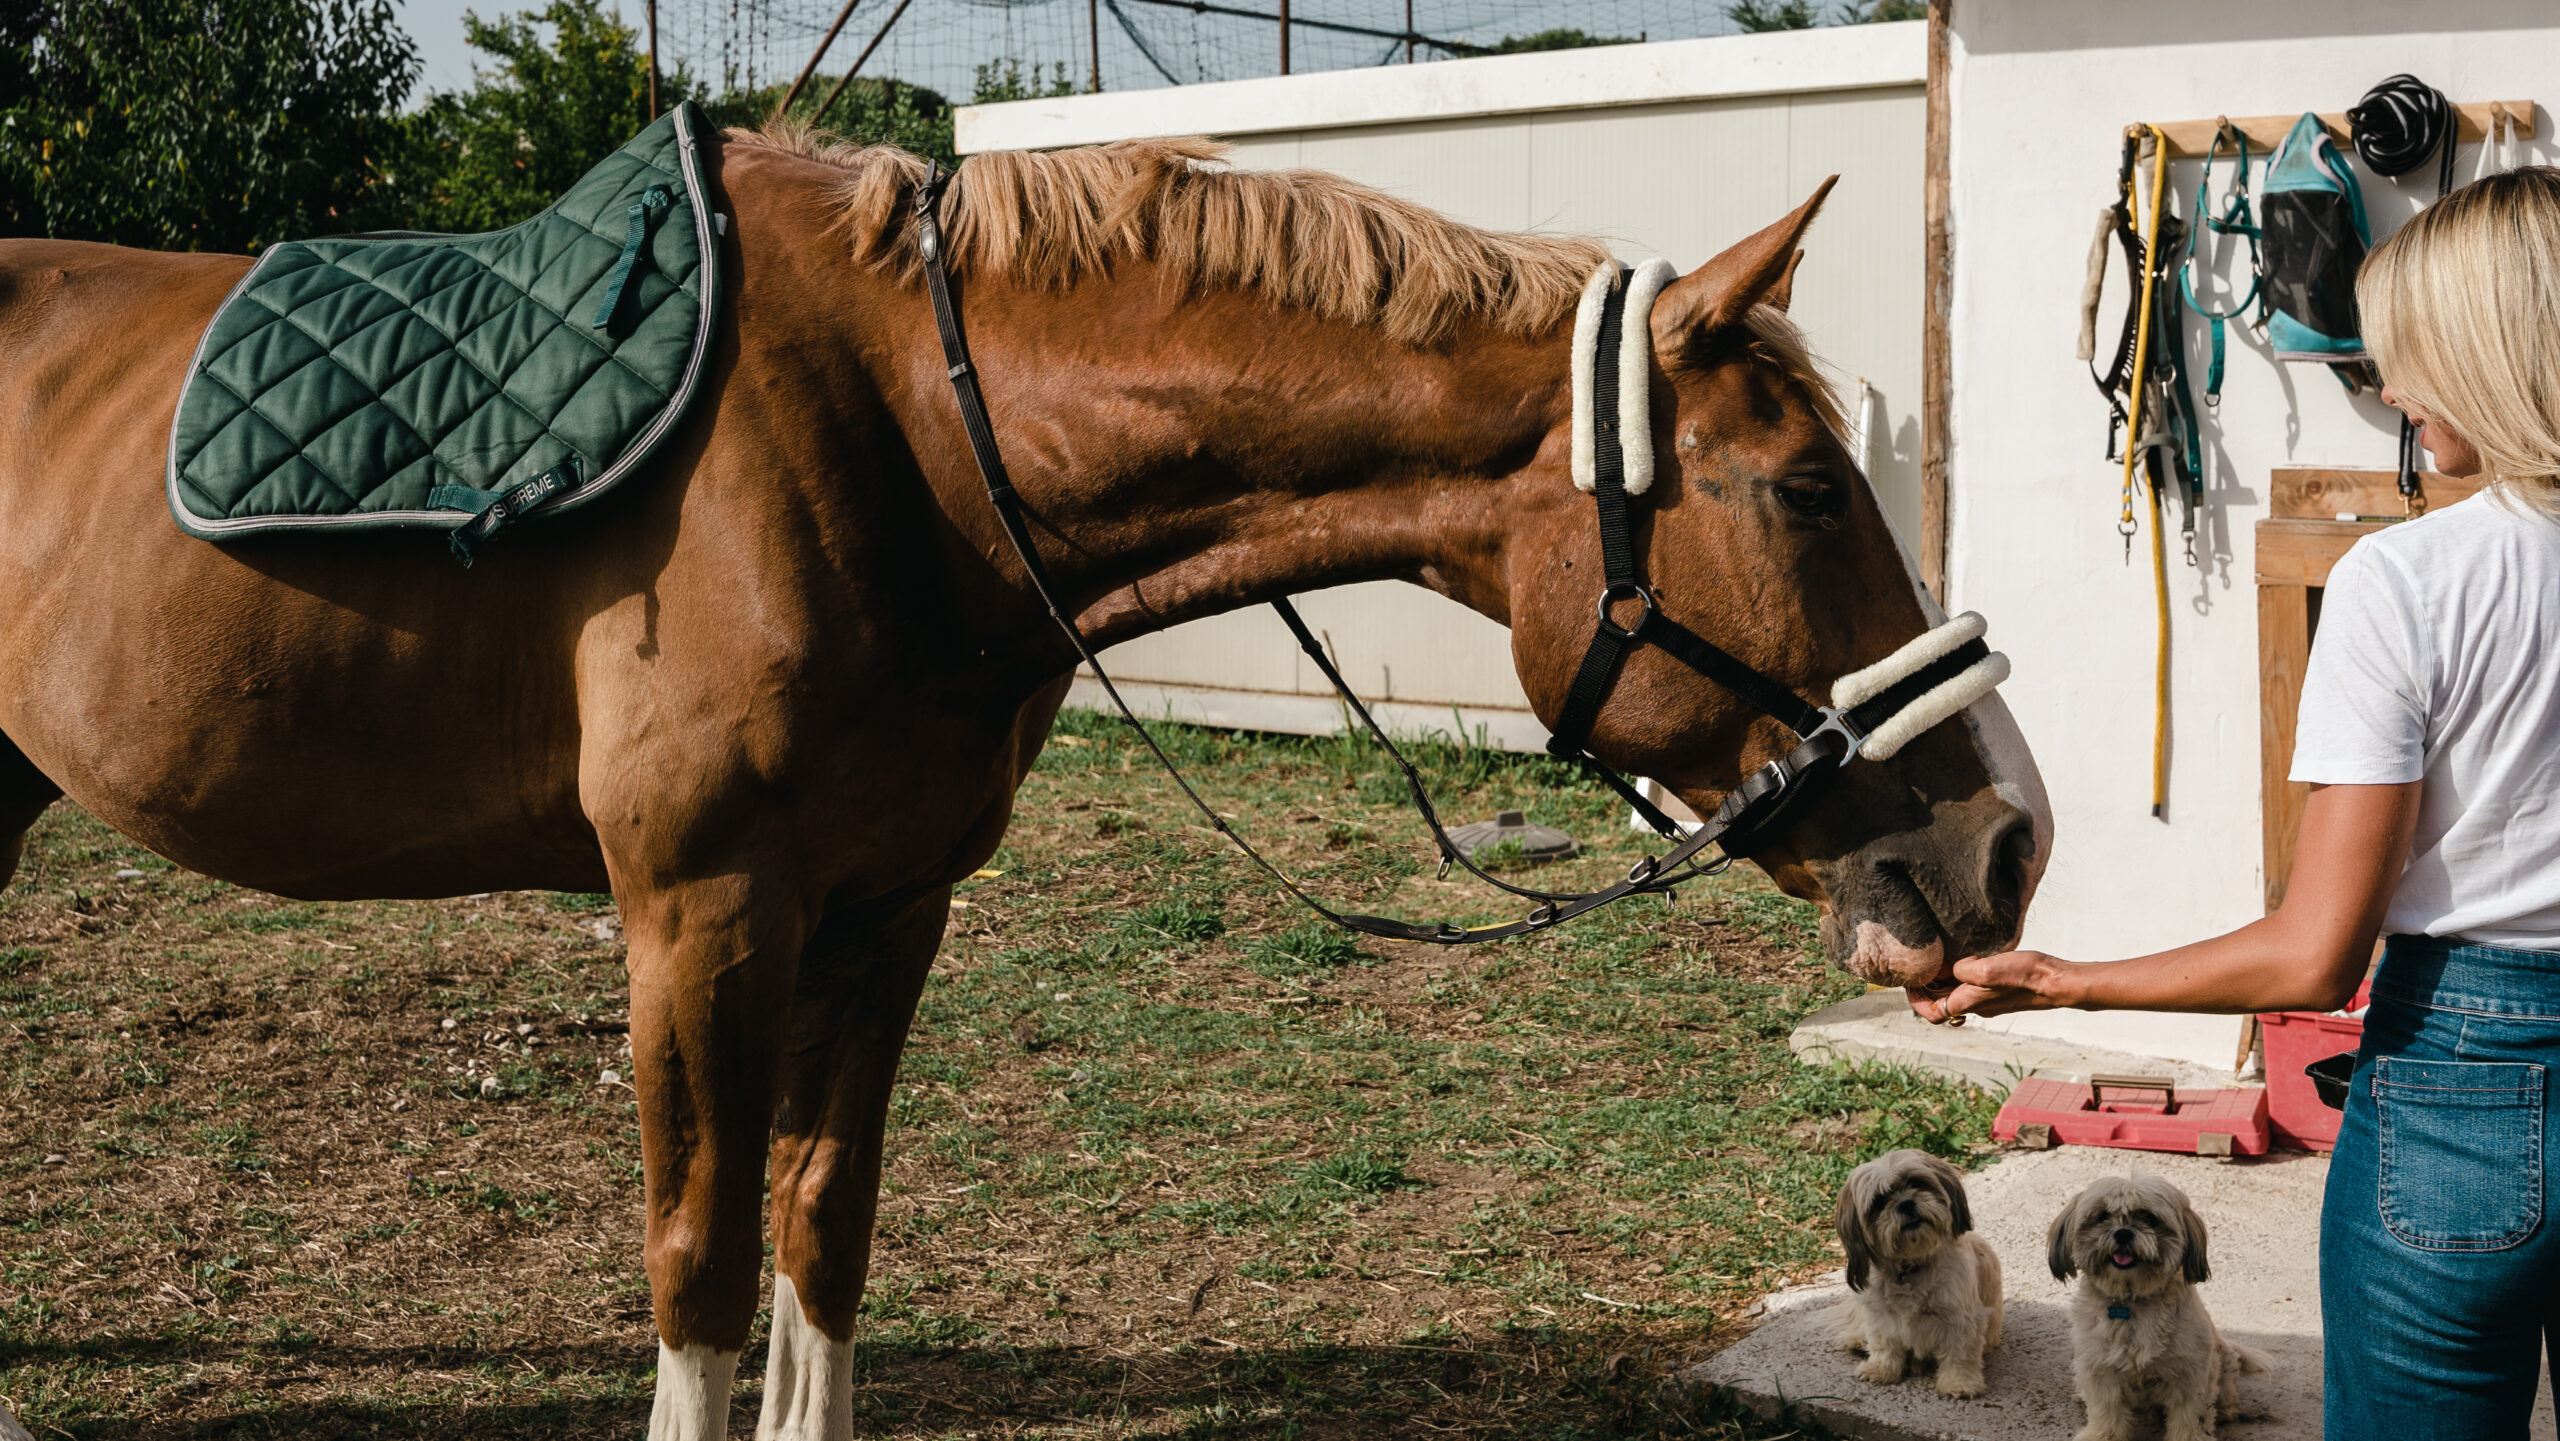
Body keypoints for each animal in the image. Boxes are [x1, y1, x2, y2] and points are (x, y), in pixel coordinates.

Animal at [0, 126, 2049, 1439]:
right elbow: (701, 1269)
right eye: (1809, 486)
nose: (2010, 836)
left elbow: (822, 1235)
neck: (899, 436)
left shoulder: (886, 911)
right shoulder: (701, 919)